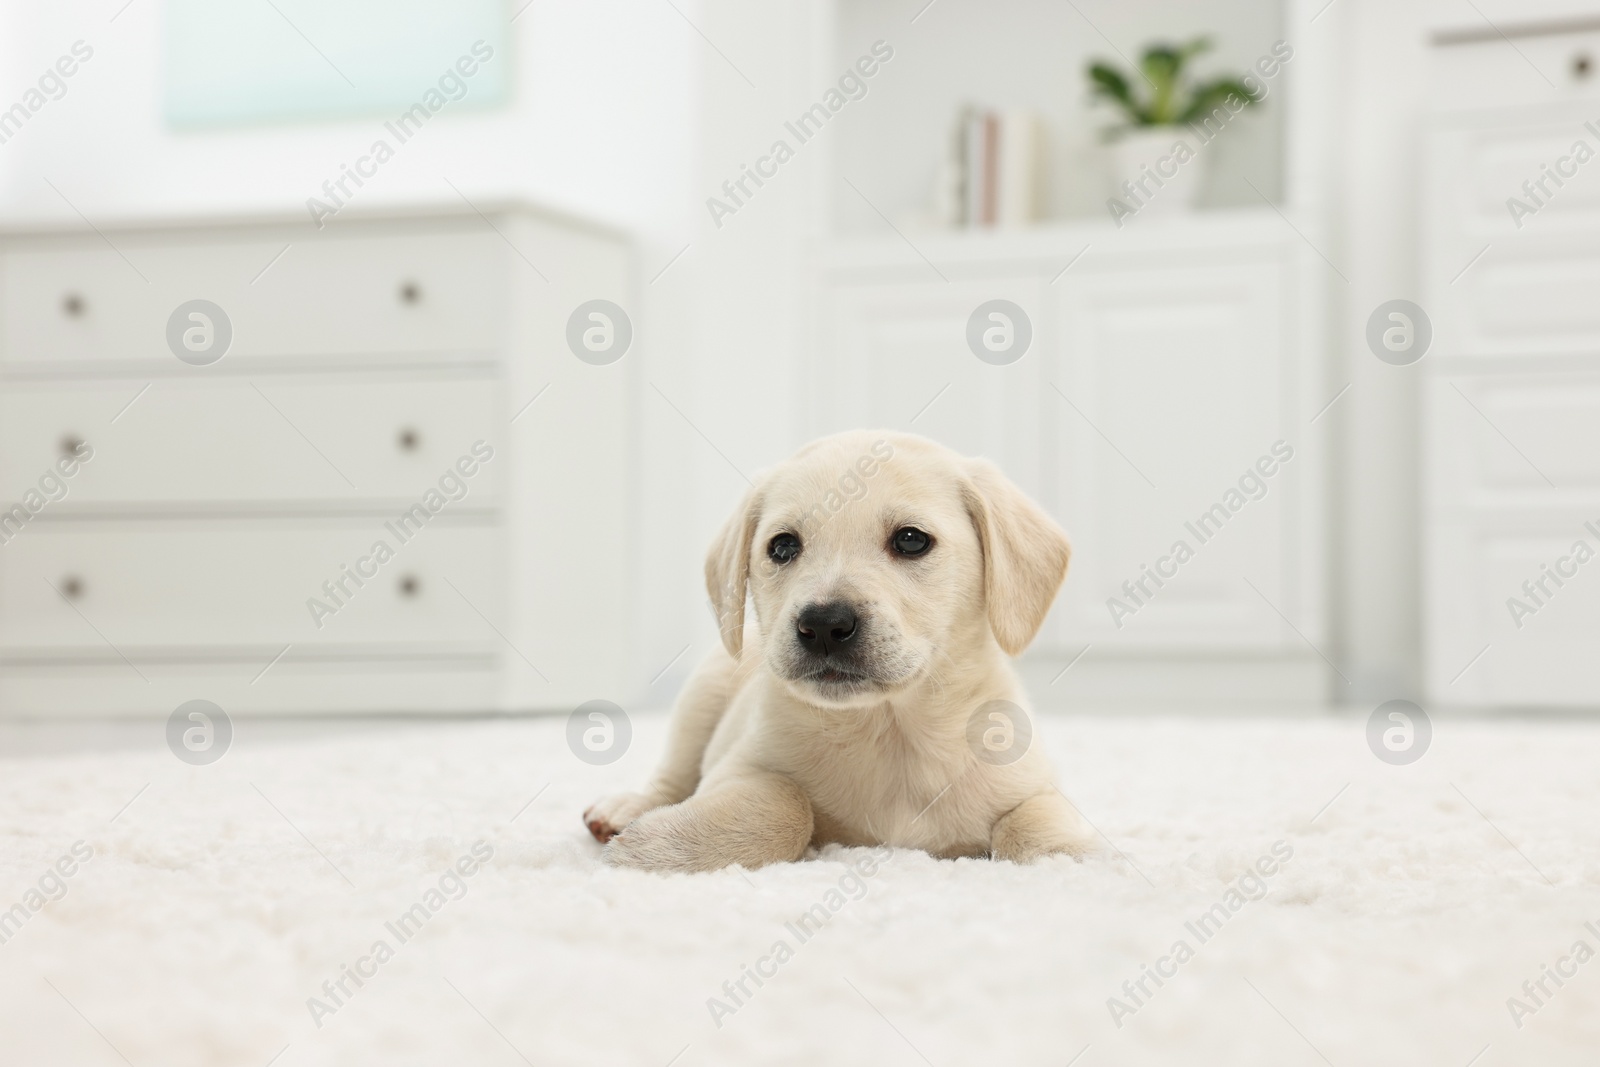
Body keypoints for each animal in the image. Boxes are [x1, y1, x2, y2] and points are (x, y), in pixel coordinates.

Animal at [588, 428, 1100, 870]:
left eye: (911, 540)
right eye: (782, 547)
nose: (824, 625)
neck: (890, 731)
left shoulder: (1032, 782)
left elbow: (1034, 818)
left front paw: (1071, 859)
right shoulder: (736, 767)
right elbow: (789, 803)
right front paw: (659, 845)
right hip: (702, 696)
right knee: (672, 775)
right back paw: (626, 810)